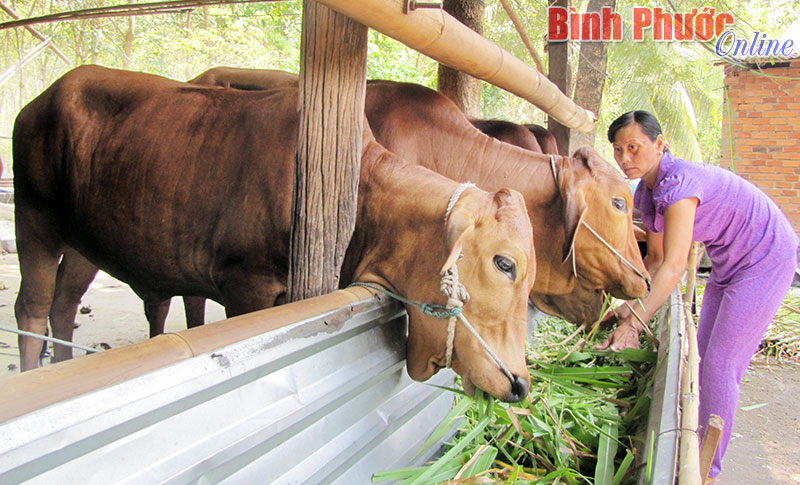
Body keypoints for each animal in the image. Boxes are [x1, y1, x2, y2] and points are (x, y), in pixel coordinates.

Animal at [12, 66, 536, 402]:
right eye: (504, 263)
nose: (519, 384)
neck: (359, 187)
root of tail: (41, 98)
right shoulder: (248, 286)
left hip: (83, 243)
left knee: (63, 303)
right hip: (34, 219)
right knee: (31, 307)